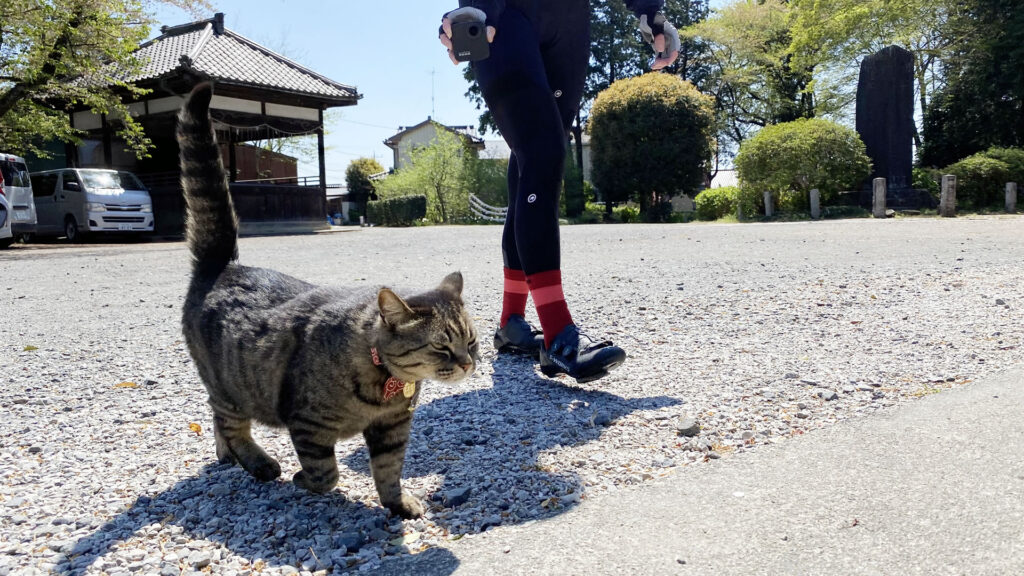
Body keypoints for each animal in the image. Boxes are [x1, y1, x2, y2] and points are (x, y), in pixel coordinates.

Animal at [177, 83, 479, 518]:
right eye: (441, 347)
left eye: (471, 342)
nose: (469, 363)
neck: (383, 384)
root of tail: (223, 266)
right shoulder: (308, 424)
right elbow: (326, 473)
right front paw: (303, 479)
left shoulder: (392, 427)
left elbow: (388, 470)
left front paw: (398, 502)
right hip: (230, 386)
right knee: (231, 424)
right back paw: (258, 462)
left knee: (216, 418)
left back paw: (227, 456)